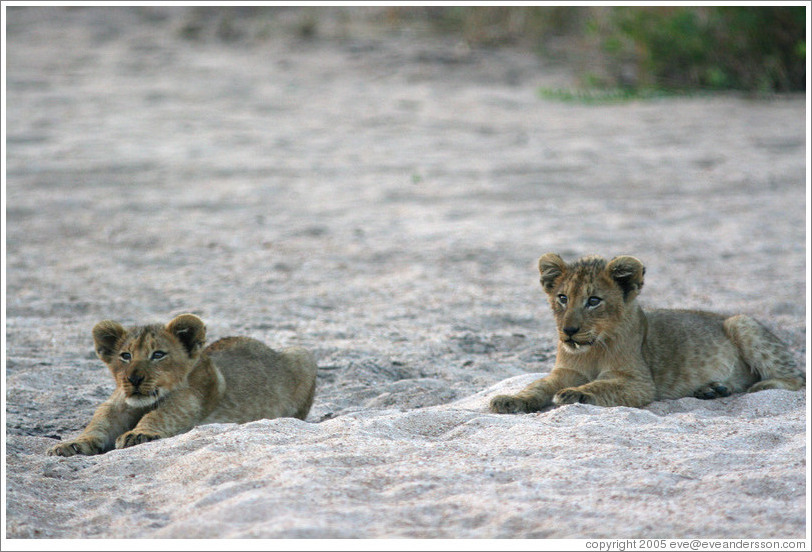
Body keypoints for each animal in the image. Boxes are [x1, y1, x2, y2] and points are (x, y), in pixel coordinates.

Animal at [47, 313, 317, 456]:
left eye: (158, 354)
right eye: (125, 355)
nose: (134, 379)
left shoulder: (189, 400)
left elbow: (161, 414)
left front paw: (138, 434)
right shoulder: (116, 407)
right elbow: (98, 423)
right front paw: (70, 445)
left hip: (302, 353)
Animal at [489, 254, 805, 413]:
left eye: (594, 301)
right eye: (563, 298)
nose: (568, 331)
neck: (592, 349)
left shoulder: (639, 382)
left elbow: (601, 386)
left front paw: (575, 395)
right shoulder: (564, 372)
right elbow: (536, 386)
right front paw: (509, 400)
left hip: (741, 322)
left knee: (797, 377)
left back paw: (761, 387)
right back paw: (711, 390)